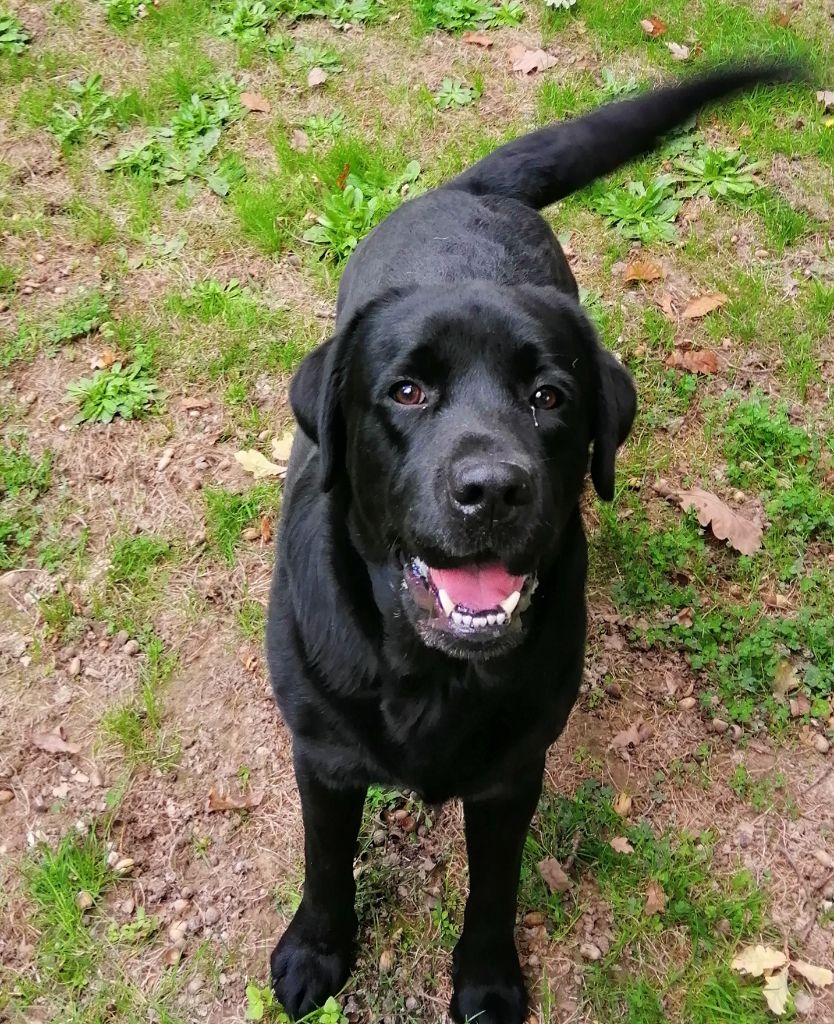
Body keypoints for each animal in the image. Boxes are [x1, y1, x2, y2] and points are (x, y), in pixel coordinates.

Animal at [268, 66, 795, 1024]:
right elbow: (326, 863)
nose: (492, 490)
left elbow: (494, 888)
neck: (431, 673)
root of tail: (470, 191)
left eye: (549, 397)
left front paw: (485, 982)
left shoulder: (513, 774)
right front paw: (316, 951)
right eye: (407, 390)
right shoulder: (321, 757)